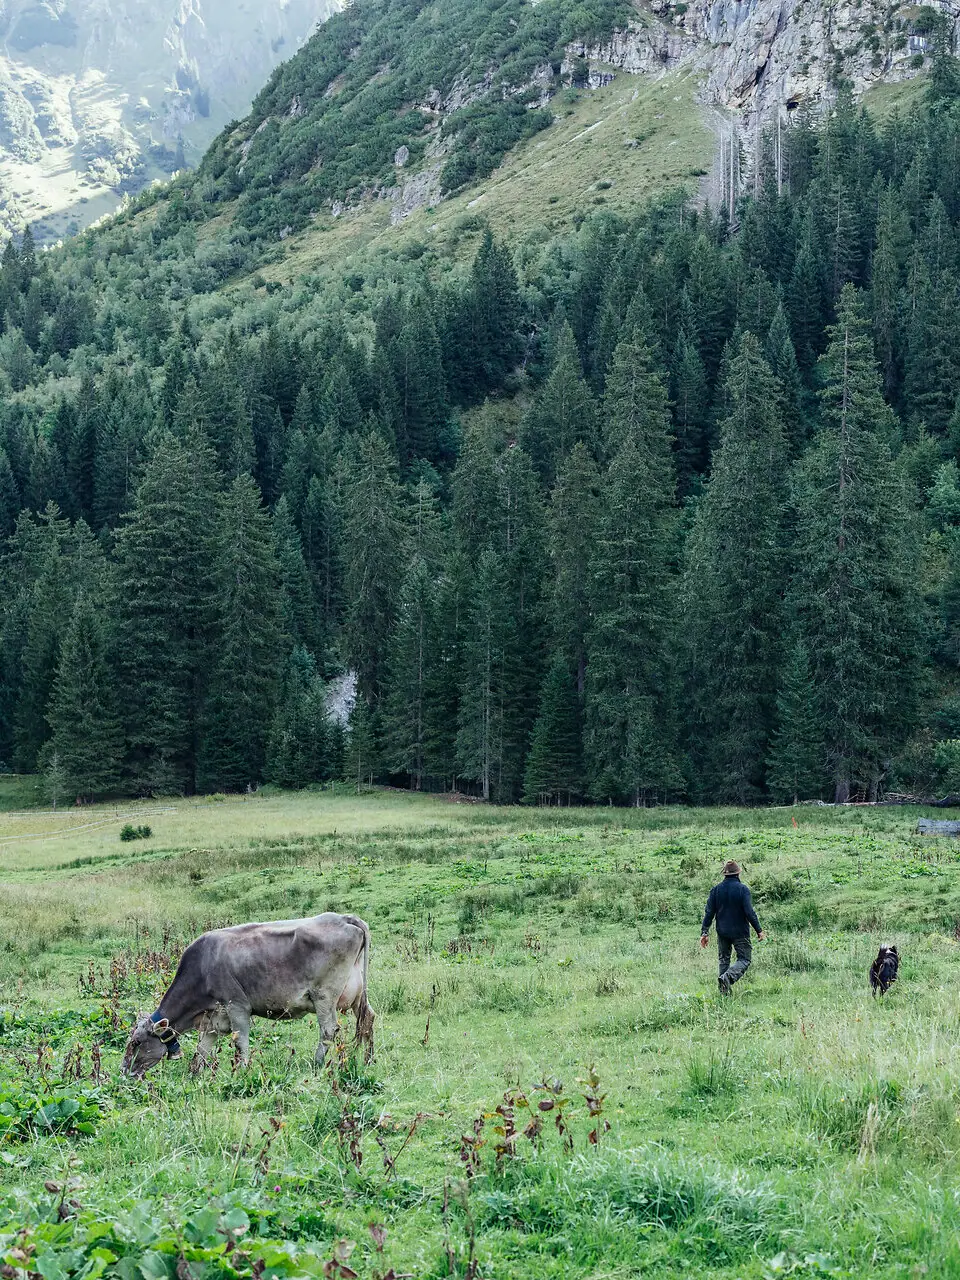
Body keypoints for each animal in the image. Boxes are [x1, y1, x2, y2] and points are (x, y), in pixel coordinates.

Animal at [121, 913, 374, 1078]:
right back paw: (368, 1058)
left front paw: (241, 1072)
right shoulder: (214, 1019)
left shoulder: (237, 1006)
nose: (123, 1071)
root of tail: (344, 917)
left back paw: (317, 1062)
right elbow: (202, 1049)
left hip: (324, 995)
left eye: (136, 1042)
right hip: (357, 993)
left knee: (329, 1029)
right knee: (367, 1019)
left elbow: (240, 1042)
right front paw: (195, 1074)